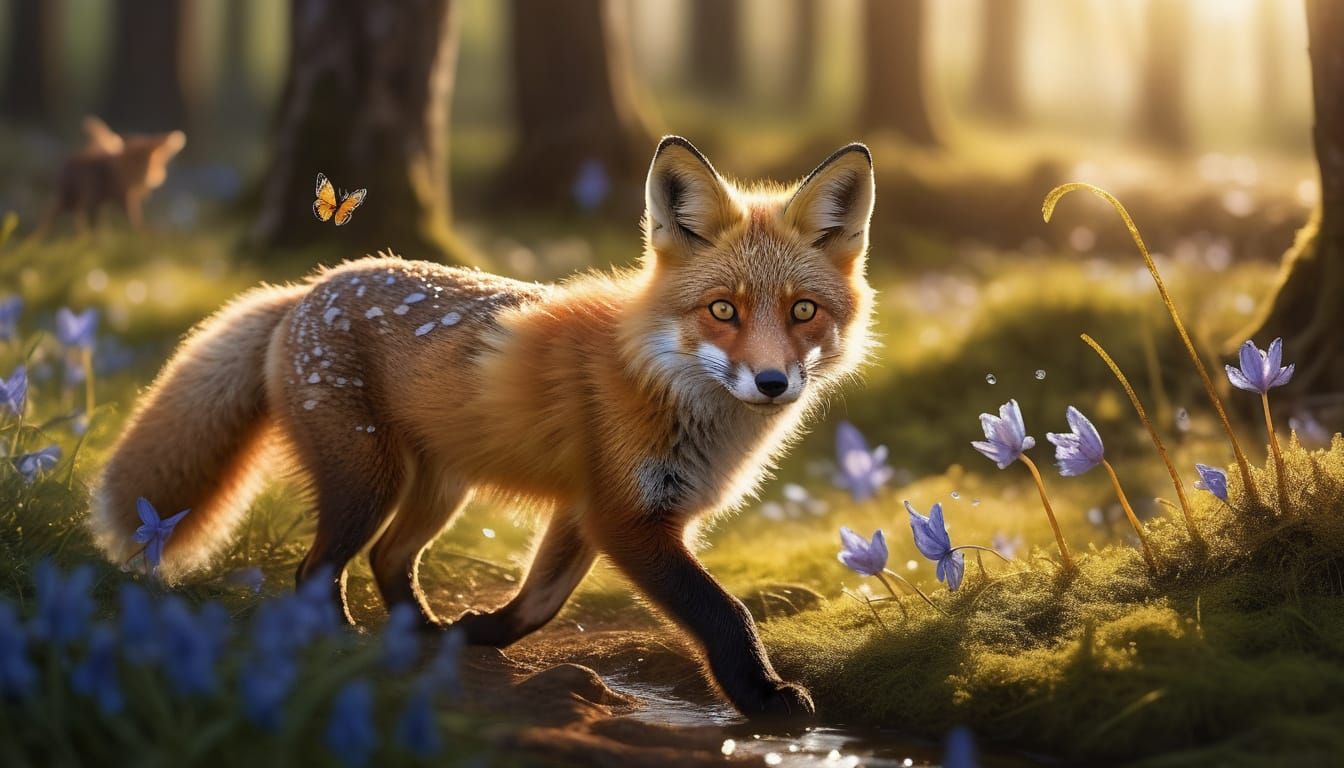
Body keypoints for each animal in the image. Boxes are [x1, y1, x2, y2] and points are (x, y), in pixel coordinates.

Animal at [37, 116, 186, 235]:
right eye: (138, 163)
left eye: (156, 162)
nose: (157, 177)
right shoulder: (113, 197)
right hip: (71, 198)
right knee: (59, 215)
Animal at [91, 136, 875, 720]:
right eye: (723, 310)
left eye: (803, 311)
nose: (772, 382)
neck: (661, 380)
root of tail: (309, 285)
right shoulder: (626, 516)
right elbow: (723, 612)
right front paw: (764, 697)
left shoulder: (585, 510)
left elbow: (538, 603)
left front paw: (481, 633)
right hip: (369, 482)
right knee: (315, 571)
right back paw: (349, 646)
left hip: (438, 490)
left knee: (388, 560)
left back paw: (422, 636)